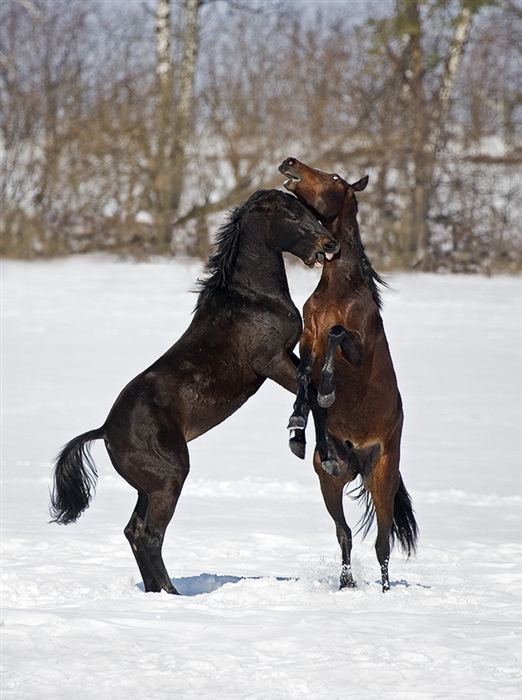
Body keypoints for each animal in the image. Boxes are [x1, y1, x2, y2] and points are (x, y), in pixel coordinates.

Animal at [50, 189, 338, 592]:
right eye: (292, 214)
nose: (330, 244)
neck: (251, 298)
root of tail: (105, 431)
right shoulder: (270, 362)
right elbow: (312, 397)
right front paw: (311, 447)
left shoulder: (287, 356)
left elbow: (312, 387)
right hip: (170, 479)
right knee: (149, 535)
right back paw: (172, 593)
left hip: (147, 488)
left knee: (133, 531)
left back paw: (158, 592)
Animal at [278, 159, 416, 592]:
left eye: (336, 179)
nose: (289, 162)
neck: (338, 291)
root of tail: (356, 458)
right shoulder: (307, 338)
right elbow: (304, 373)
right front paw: (297, 424)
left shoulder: (356, 345)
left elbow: (336, 340)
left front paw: (325, 392)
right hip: (330, 483)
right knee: (345, 533)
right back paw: (346, 584)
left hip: (383, 476)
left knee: (383, 543)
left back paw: (385, 591)